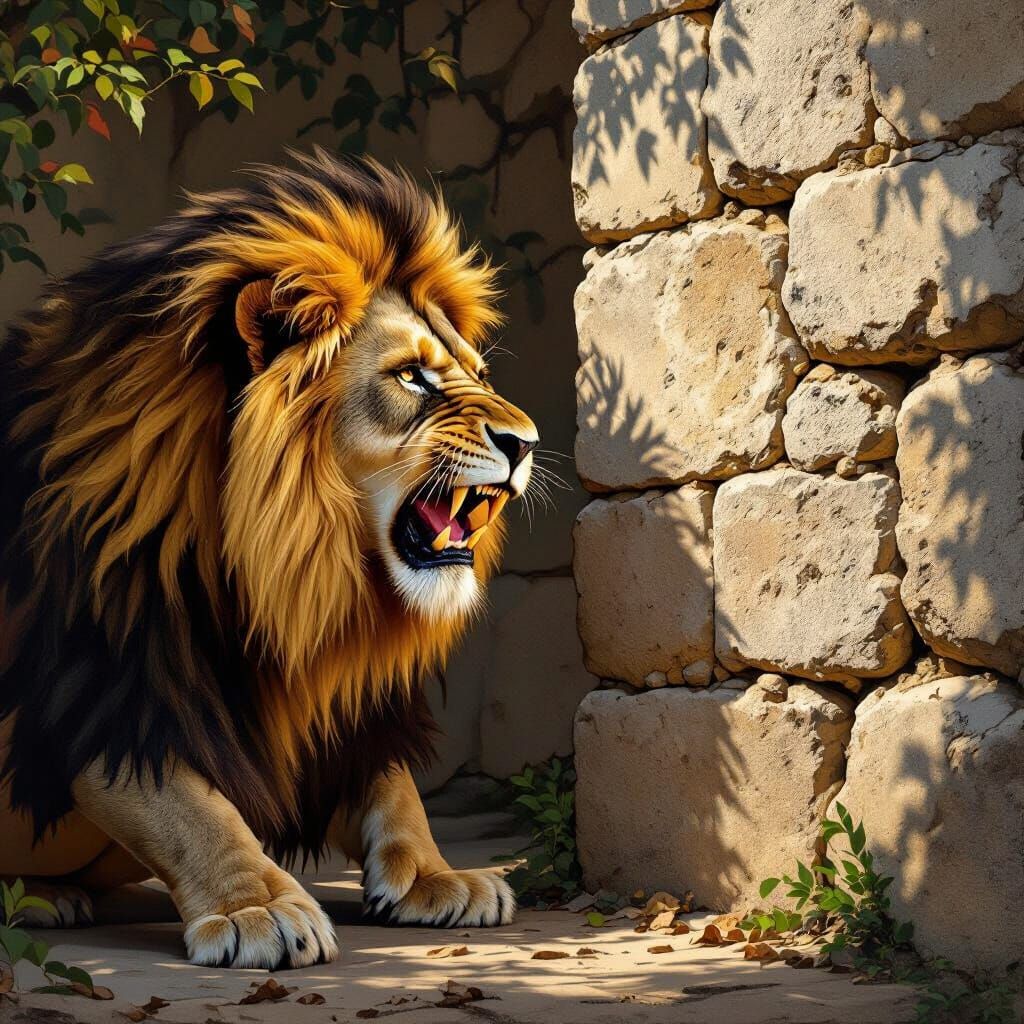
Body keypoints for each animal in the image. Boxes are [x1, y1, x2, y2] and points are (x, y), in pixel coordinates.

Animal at [0, 151, 538, 969]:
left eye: (476, 373)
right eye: (411, 376)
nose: (527, 443)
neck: (287, 568)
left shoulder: (336, 682)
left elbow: (394, 784)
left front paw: (432, 876)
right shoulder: (106, 679)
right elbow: (192, 809)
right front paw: (258, 907)